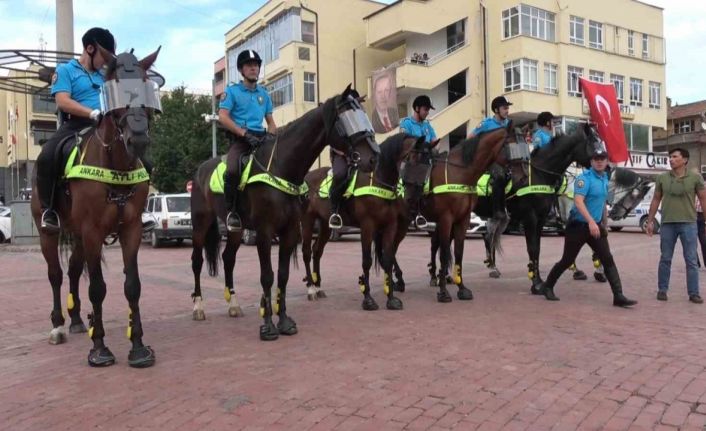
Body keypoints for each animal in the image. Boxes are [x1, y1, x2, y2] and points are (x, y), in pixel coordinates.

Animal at [31, 45, 161, 368]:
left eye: (145, 85)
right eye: (113, 87)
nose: (138, 139)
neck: (116, 166)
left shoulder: (130, 230)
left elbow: (132, 285)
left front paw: (138, 346)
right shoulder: (92, 232)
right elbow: (98, 288)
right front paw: (99, 348)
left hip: (78, 236)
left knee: (73, 271)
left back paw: (78, 320)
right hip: (49, 232)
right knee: (55, 274)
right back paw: (58, 325)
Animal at [187, 84, 380, 340]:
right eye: (347, 118)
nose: (374, 157)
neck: (282, 168)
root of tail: (200, 169)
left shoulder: (289, 232)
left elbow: (283, 275)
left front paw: (285, 321)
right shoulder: (265, 232)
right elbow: (267, 276)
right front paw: (268, 325)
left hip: (235, 229)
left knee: (228, 259)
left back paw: (234, 304)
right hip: (200, 224)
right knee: (197, 261)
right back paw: (198, 307)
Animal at [298, 134, 426, 310]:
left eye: (427, 164)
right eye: (411, 159)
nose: (413, 197)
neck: (378, 181)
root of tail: (307, 177)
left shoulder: (390, 226)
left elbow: (387, 259)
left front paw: (391, 298)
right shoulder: (367, 227)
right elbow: (367, 261)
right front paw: (368, 299)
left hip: (325, 224)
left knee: (317, 251)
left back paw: (318, 288)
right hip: (307, 221)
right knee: (306, 252)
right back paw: (311, 289)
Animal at [476, 123, 608, 296]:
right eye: (594, 144)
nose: (607, 167)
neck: (539, 174)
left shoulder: (542, 218)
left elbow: (538, 248)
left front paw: (538, 280)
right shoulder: (531, 218)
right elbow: (533, 248)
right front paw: (536, 283)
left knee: (488, 237)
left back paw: (492, 267)